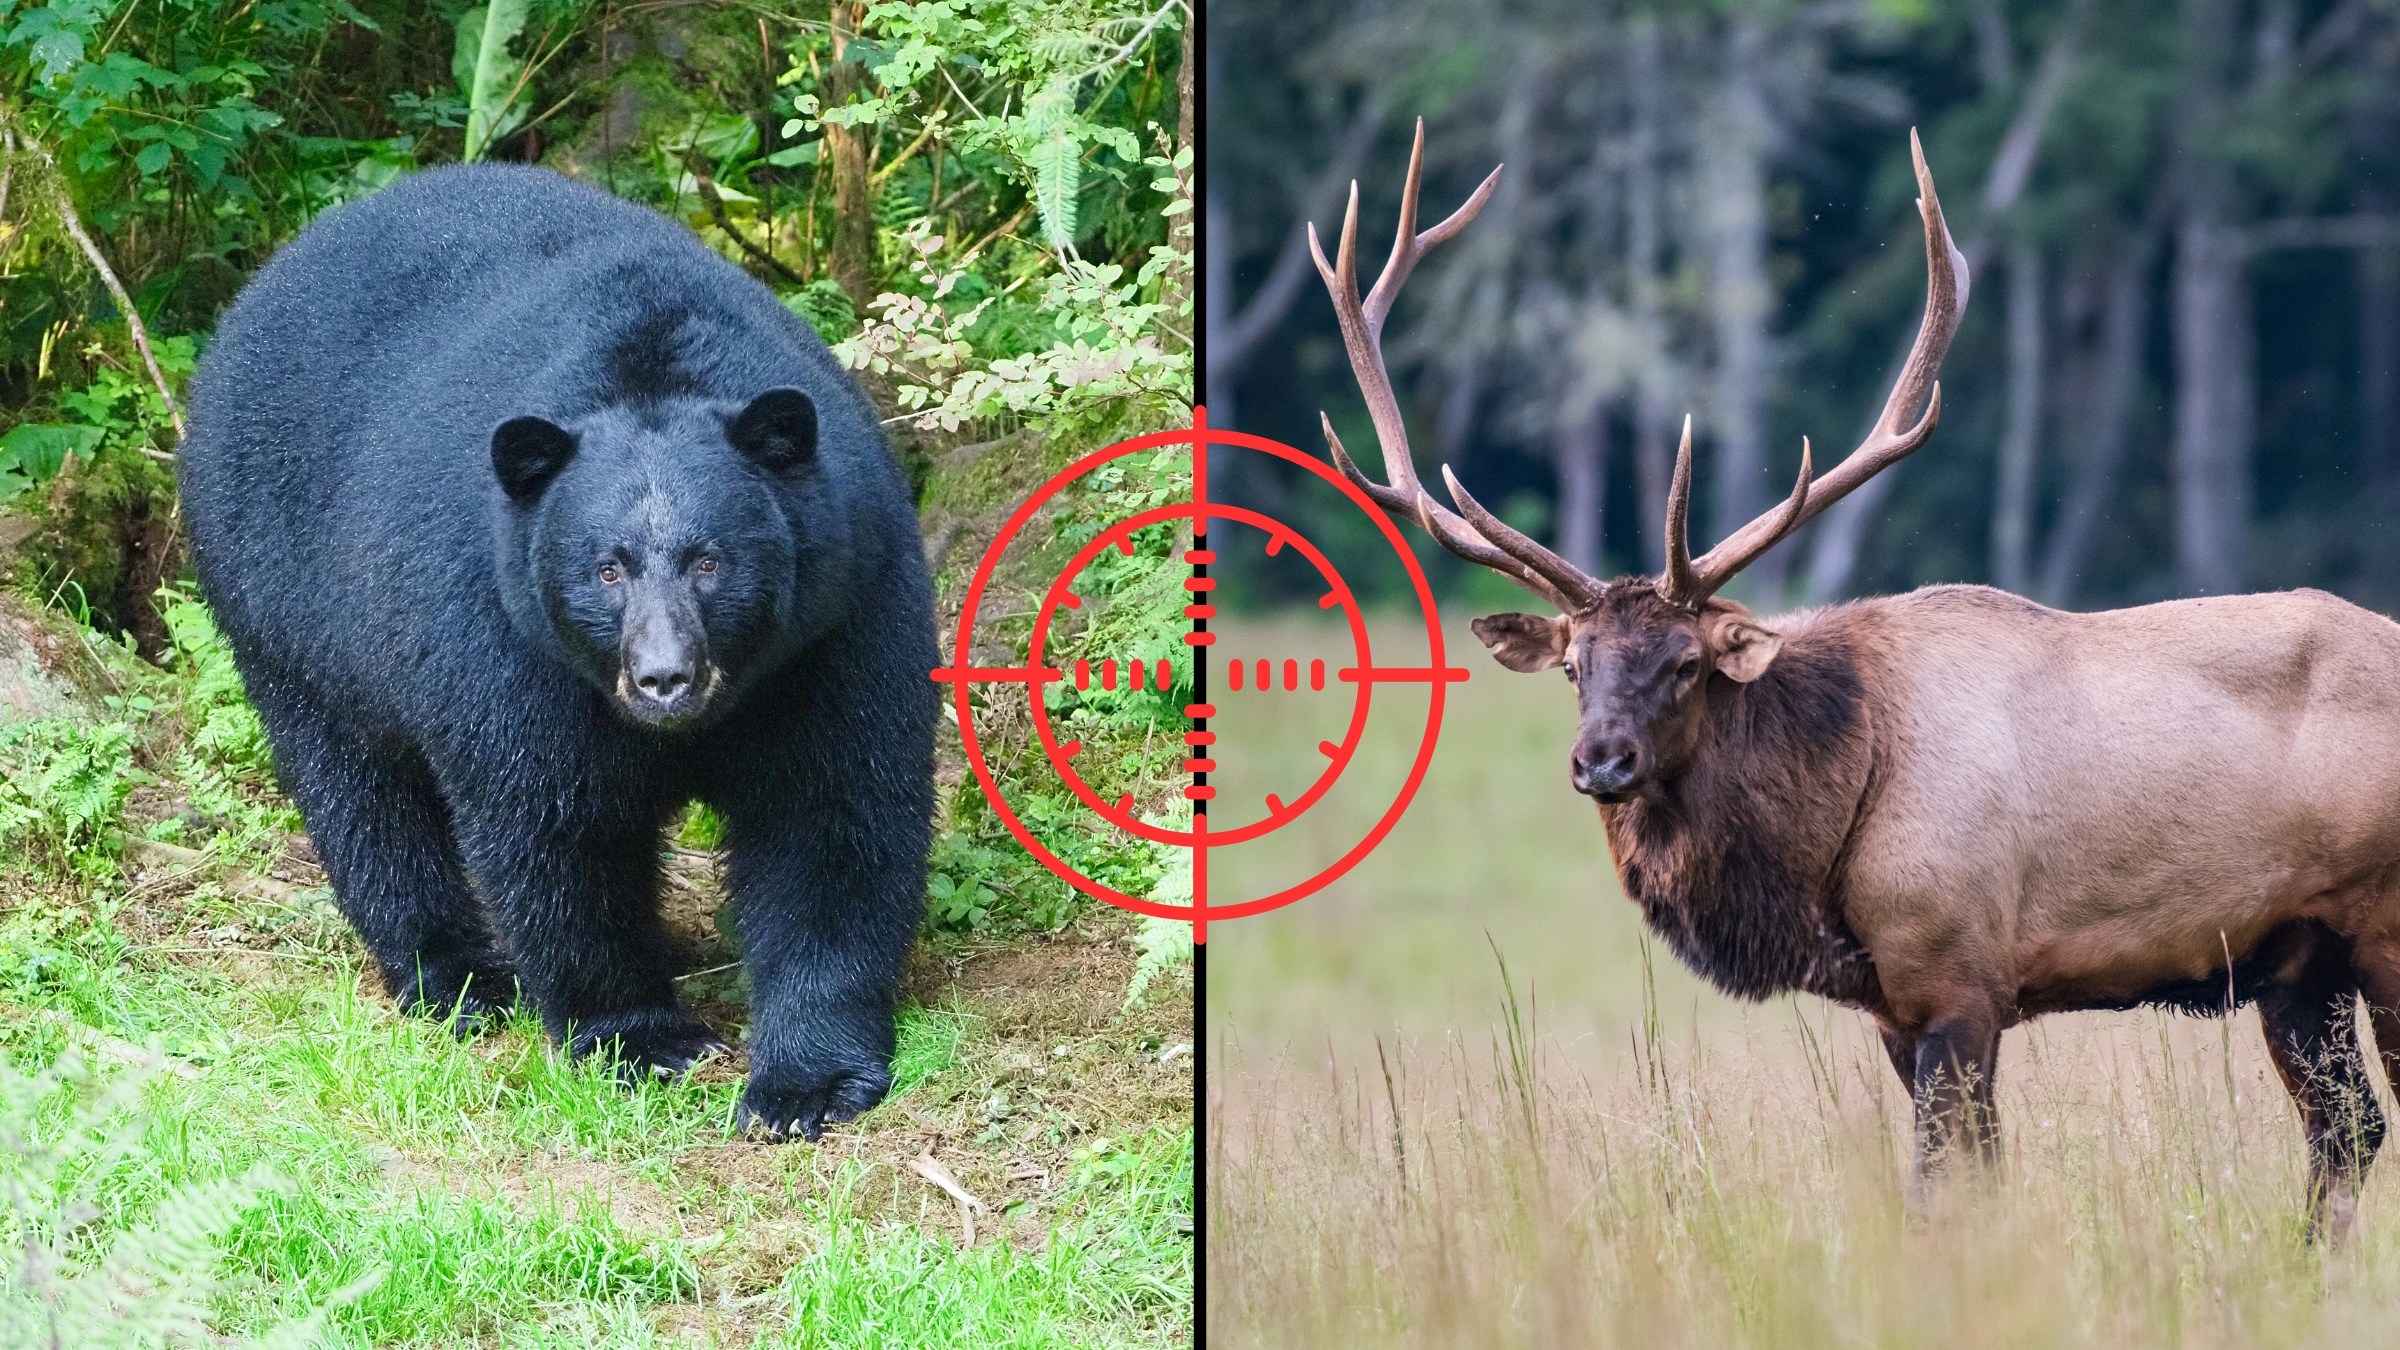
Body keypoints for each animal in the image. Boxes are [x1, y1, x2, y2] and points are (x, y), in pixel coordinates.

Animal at [177, 163, 938, 1140]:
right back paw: (456, 977)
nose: (664, 679)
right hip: (284, 606)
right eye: (606, 569)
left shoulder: (838, 620)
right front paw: (640, 1038)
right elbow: (556, 830)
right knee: (361, 797)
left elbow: (831, 811)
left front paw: (808, 1080)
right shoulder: (503, 641)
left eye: (710, 560)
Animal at [1312, 121, 2400, 1240]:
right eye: (1575, 663)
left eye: (1688, 664)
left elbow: (1937, 1184)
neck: (1825, 844)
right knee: (2347, 1128)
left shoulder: (1961, 975)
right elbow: (1978, 1176)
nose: (1601, 762)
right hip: (2298, 959)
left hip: (2385, 928)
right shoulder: (1900, 1004)